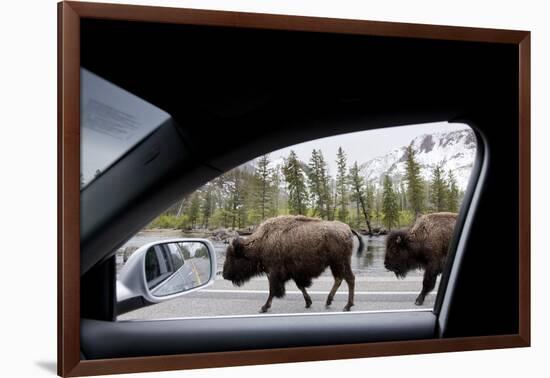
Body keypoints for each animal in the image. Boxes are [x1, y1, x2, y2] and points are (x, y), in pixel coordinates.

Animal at [222, 216, 364, 314]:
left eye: (233, 257)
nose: (224, 275)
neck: (262, 242)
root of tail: (347, 228)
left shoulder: (274, 273)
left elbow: (272, 291)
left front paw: (264, 308)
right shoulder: (293, 273)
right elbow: (300, 286)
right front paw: (308, 303)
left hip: (339, 262)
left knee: (348, 279)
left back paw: (346, 306)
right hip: (337, 264)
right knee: (341, 279)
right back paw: (329, 302)